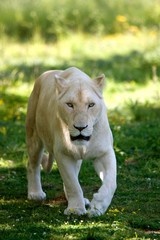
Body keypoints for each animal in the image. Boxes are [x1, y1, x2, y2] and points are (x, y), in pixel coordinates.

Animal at [26, 66, 116, 217]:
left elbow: (111, 182)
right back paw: (35, 193)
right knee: (33, 164)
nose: (80, 127)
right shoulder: (62, 153)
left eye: (91, 105)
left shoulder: (104, 153)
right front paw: (76, 209)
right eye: (69, 105)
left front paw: (98, 206)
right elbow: (72, 183)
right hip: (34, 137)